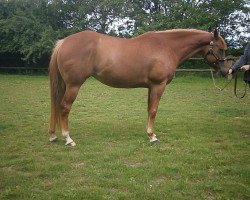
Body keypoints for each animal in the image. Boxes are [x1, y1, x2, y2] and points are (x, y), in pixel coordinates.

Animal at [48, 28, 229, 146]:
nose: (226, 71)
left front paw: (149, 133)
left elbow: (149, 110)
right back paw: (68, 139)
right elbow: (154, 110)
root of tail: (64, 42)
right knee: (64, 107)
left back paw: (53, 136)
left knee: (57, 106)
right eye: (220, 49)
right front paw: (152, 137)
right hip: (74, 85)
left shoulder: (151, 87)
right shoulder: (158, 85)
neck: (167, 46)